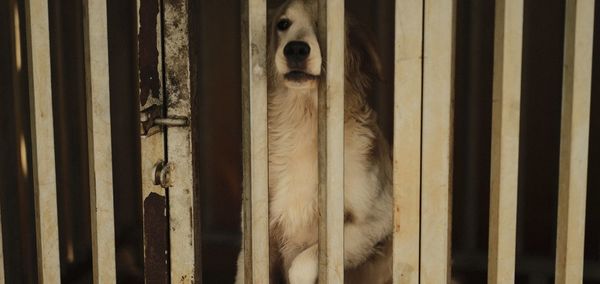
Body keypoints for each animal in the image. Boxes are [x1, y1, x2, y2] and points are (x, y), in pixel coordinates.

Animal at [234, 1, 394, 282]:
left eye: (323, 22)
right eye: (283, 23)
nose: (296, 49)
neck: (303, 119)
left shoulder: (376, 221)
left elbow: (305, 261)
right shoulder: (254, 237)